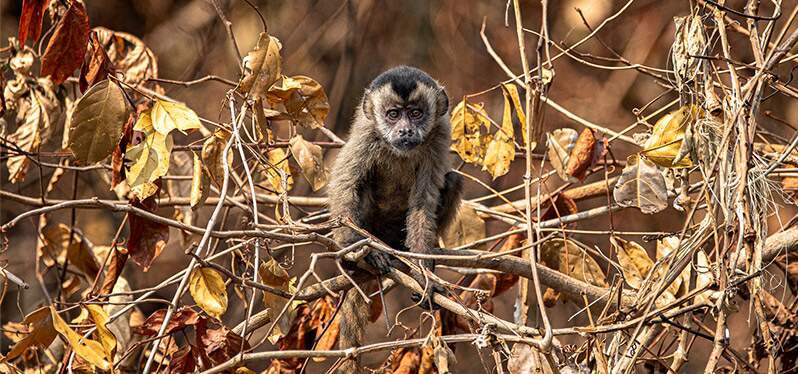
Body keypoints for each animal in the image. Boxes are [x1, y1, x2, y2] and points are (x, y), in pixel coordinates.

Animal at [328, 65, 466, 372]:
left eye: (415, 113)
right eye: (393, 114)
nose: (405, 129)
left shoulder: (440, 133)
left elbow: (422, 204)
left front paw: (424, 273)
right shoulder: (367, 133)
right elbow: (345, 183)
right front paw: (356, 250)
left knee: (453, 180)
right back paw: (364, 258)